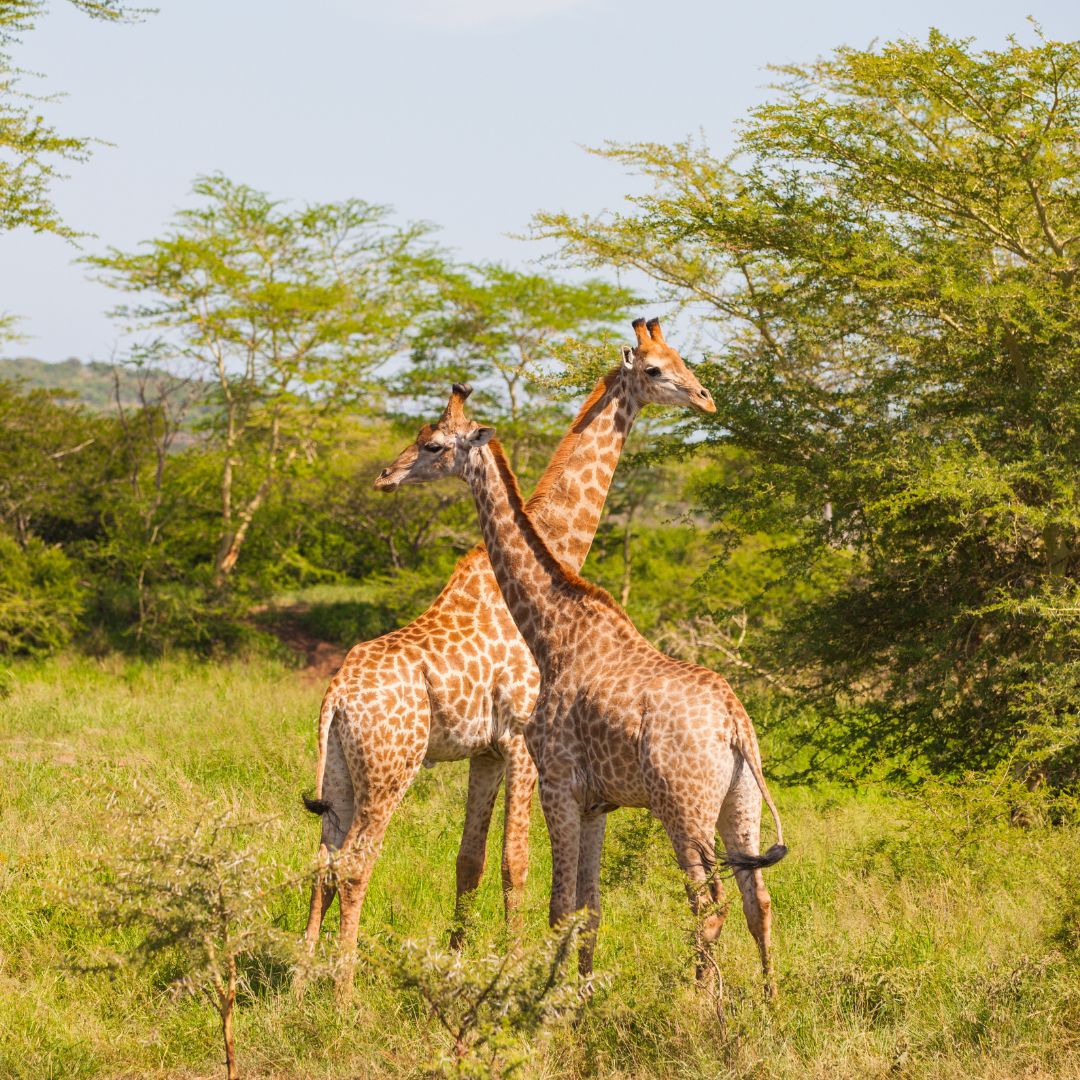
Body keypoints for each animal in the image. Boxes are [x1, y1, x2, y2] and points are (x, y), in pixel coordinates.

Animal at [302, 315, 717, 976]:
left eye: (683, 359)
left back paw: (301, 975)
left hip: (340, 769)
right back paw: (341, 982)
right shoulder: (522, 738)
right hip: (391, 768)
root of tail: (335, 696)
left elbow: (469, 861)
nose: (706, 398)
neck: (556, 542)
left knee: (322, 861)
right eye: (656, 370)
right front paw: (514, 964)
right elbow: (516, 864)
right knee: (358, 863)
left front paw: (457, 960)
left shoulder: (486, 751)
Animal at [384, 378, 790, 993]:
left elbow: (558, 905)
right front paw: (581, 990)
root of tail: (735, 723)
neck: (551, 631)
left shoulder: (557, 782)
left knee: (708, 902)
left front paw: (546, 992)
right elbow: (590, 907)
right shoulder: (599, 803)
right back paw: (767, 1000)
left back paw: (700, 999)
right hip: (739, 802)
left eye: (433, 445)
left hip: (682, 808)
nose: (387, 475)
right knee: (756, 899)